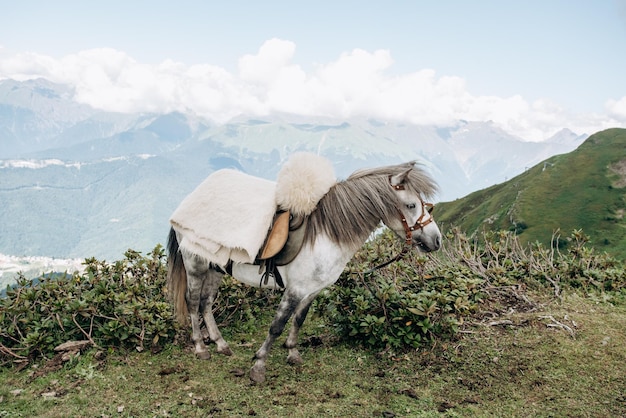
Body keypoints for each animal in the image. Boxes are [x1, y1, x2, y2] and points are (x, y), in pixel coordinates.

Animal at [166, 161, 438, 382]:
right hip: (195, 264)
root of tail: (188, 200)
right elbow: (277, 325)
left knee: (206, 302)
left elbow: (299, 319)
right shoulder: (295, 290)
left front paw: (293, 353)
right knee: (193, 302)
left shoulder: (312, 290)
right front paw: (259, 366)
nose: (436, 240)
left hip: (216, 267)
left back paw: (221, 344)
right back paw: (201, 348)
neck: (327, 234)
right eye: (411, 205)